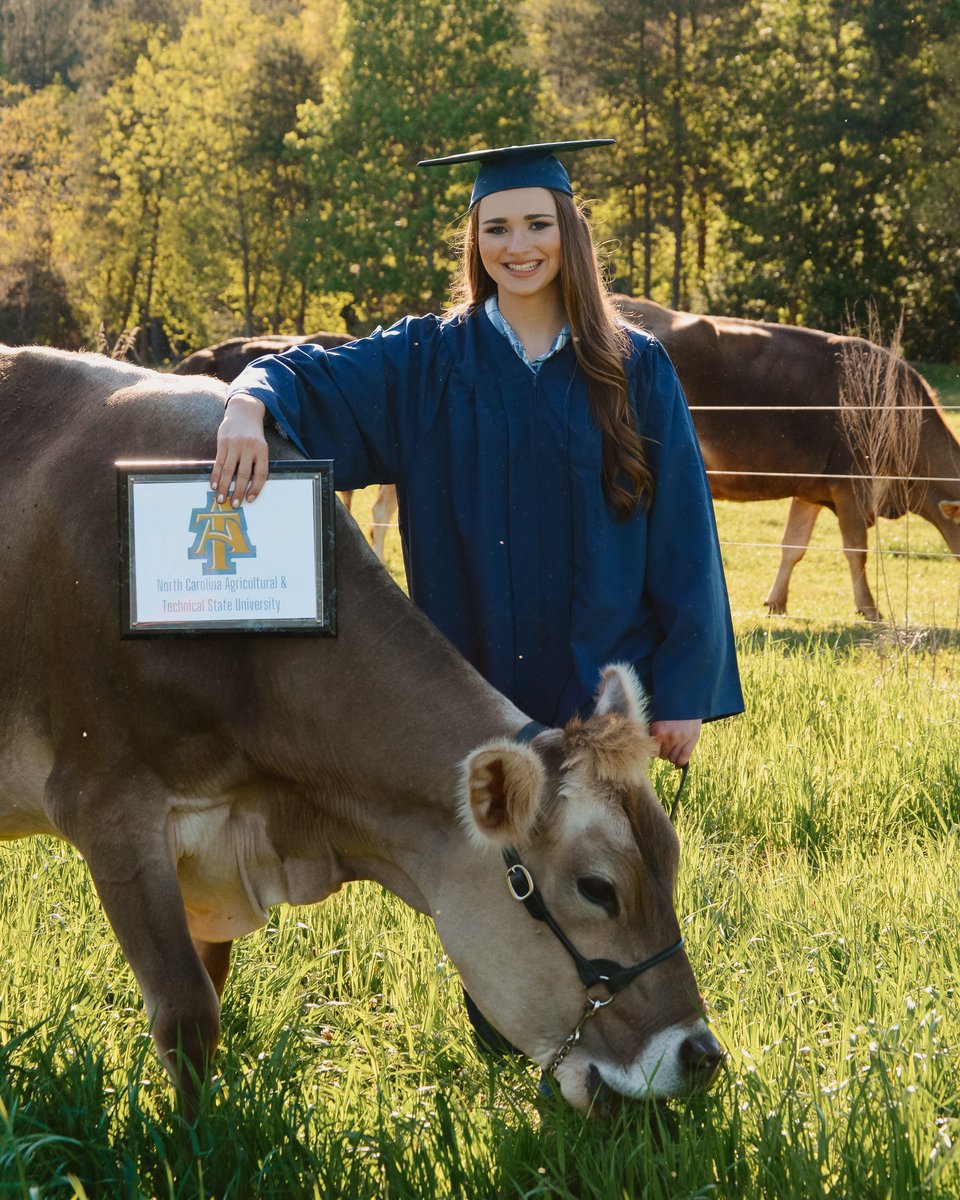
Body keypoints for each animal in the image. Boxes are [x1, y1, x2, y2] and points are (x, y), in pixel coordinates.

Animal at [0, 345, 720, 1113]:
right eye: (597, 889)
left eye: (671, 862)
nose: (701, 1054)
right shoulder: (109, 805)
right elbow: (188, 1011)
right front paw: (190, 1137)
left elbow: (208, 990)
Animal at [614, 297, 960, 619]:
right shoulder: (851, 484)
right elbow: (856, 548)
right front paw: (869, 608)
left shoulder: (811, 489)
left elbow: (793, 545)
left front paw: (776, 602)